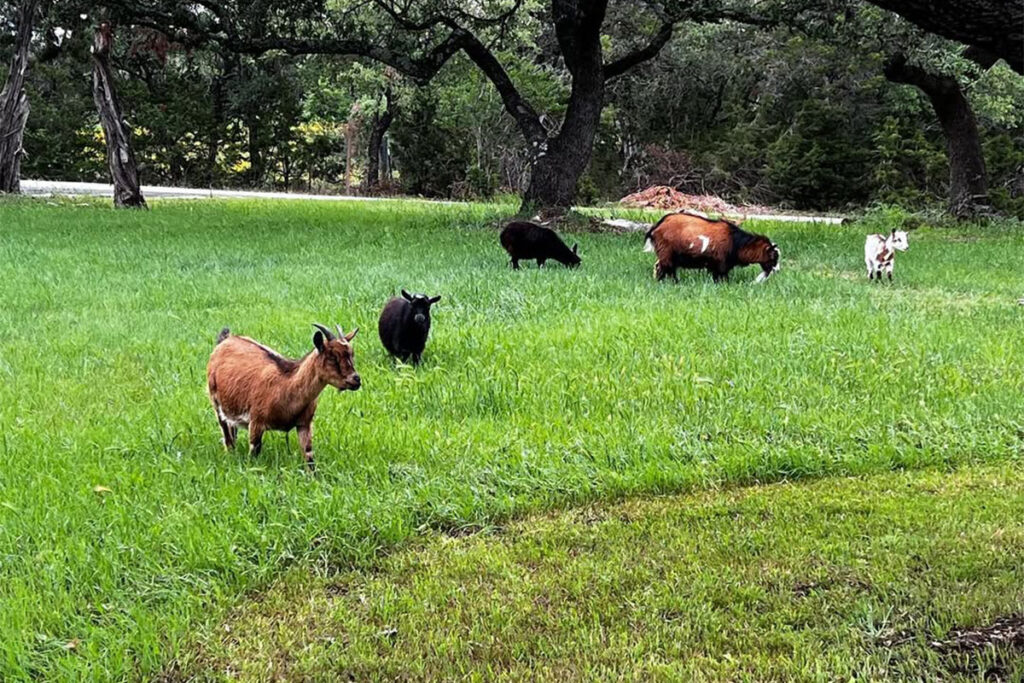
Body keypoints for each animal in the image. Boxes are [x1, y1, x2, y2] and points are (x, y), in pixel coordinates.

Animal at [206, 324, 360, 470]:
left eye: (351, 354)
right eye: (332, 357)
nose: (356, 379)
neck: (286, 386)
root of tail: (226, 340)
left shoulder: (304, 424)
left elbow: (309, 455)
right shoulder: (256, 421)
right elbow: (254, 451)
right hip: (215, 401)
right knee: (226, 432)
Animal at [643, 212, 780, 283]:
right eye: (774, 256)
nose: (778, 270)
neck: (735, 242)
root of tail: (657, 226)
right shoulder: (720, 264)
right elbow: (721, 277)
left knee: (661, 267)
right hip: (667, 253)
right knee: (665, 269)